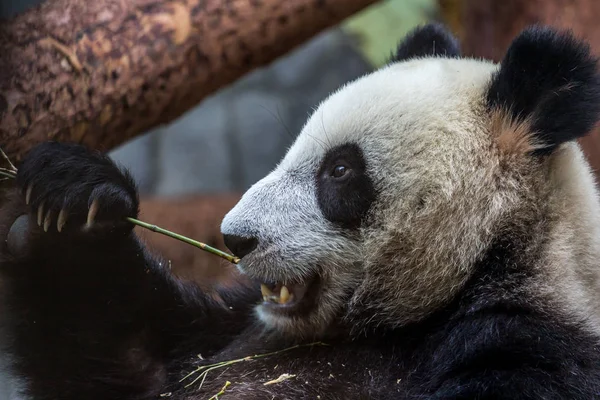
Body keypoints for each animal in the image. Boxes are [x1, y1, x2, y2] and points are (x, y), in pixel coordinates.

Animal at [1, 22, 600, 400]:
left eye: (339, 171)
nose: (235, 238)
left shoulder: (528, 348)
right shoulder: (239, 327)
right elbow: (127, 357)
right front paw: (73, 200)